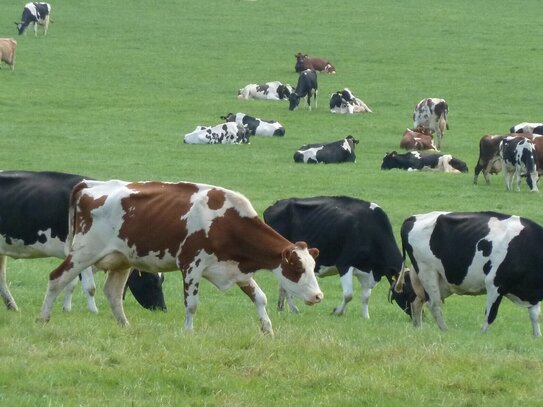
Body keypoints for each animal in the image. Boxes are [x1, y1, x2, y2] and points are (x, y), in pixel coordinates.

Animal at [0, 171, 166, 312]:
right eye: (151, 282)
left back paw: (12, 306)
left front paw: (66, 309)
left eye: (162, 280)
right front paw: (94, 312)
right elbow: (89, 287)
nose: (162, 309)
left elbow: (71, 283)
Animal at [39, 182, 328, 334]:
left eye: (312, 267)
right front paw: (188, 332)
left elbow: (260, 297)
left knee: (112, 293)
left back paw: (125, 325)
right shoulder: (192, 266)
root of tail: (89, 185)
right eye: (298, 268)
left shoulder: (236, 270)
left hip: (120, 260)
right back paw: (43, 318)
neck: (225, 221)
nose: (318, 296)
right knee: (56, 278)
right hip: (83, 254)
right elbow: (191, 304)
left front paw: (267, 329)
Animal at [262, 198, 410, 318]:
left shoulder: (368, 270)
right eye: (409, 290)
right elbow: (348, 294)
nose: (416, 316)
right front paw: (337, 312)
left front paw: (365, 317)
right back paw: (294, 309)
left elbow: (366, 297)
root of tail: (275, 204)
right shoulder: (344, 263)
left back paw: (282, 309)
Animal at [398, 212, 543, 336]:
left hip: (432, 280)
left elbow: (535, 315)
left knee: (416, 302)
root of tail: (414, 217)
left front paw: (537, 337)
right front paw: (482, 336)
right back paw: (445, 330)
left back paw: (419, 329)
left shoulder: (533, 292)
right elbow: (490, 315)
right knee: (433, 304)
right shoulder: (494, 283)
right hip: (427, 271)